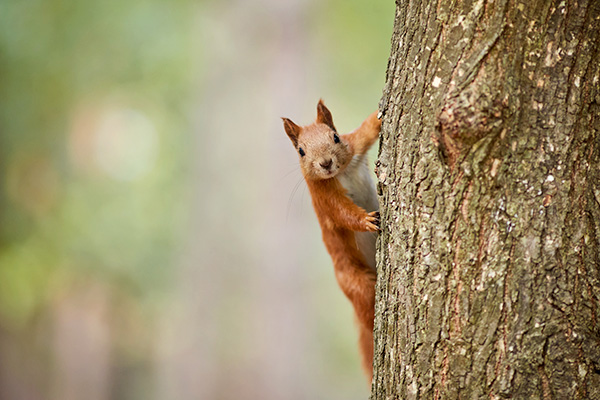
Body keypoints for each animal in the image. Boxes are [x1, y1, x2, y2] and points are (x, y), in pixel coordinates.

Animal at [282, 98, 380, 380]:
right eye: (301, 152)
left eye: (335, 137)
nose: (325, 163)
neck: (341, 172)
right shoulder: (323, 195)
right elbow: (342, 214)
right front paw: (366, 221)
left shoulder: (355, 145)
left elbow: (368, 129)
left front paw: (379, 113)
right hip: (356, 283)